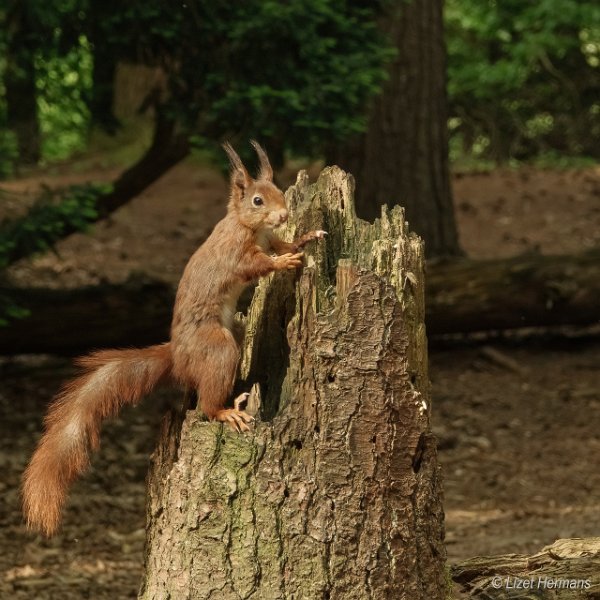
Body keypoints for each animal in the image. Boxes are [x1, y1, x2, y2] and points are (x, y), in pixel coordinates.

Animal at [22, 142, 328, 540]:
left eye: (279, 191)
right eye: (257, 200)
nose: (283, 214)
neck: (249, 228)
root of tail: (178, 357)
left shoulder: (269, 238)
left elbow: (284, 241)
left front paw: (304, 238)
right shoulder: (236, 254)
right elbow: (254, 266)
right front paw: (285, 262)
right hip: (217, 345)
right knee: (207, 406)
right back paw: (226, 410)